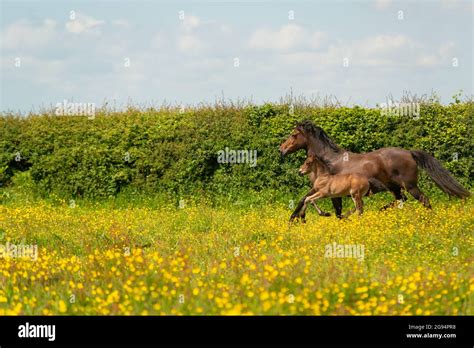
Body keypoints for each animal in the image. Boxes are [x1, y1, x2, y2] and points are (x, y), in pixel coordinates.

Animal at [280, 121, 468, 222]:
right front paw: (297, 219)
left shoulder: (330, 192)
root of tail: (409, 153)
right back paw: (382, 210)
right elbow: (305, 199)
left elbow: (331, 210)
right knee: (401, 200)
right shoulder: (322, 190)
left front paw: (297, 219)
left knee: (424, 200)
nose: (281, 149)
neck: (329, 161)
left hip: (410, 186)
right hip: (395, 187)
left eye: (294, 134)